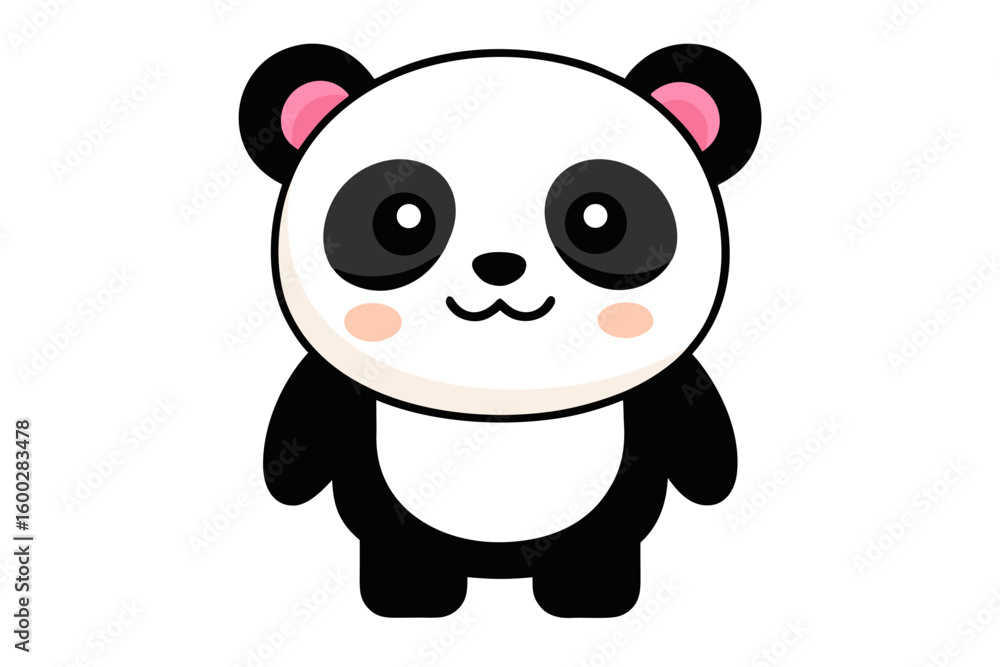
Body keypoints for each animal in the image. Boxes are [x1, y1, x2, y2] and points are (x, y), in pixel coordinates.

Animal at [240, 44, 761, 618]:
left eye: (600, 218)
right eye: (400, 219)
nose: (499, 264)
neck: (500, 401)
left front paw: (716, 482)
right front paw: (282, 480)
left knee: (593, 551)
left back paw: (587, 597)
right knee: (406, 551)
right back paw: (411, 597)